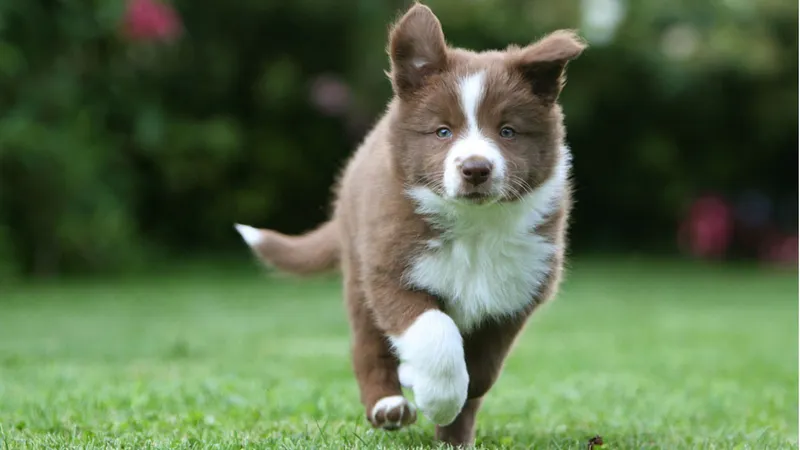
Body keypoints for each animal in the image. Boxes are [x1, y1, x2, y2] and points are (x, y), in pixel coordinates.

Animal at [234, 2, 584, 446]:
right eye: (442, 131)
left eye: (508, 131)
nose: (476, 169)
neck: (474, 226)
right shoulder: (390, 268)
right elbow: (435, 332)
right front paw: (438, 396)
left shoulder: (518, 290)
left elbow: (481, 370)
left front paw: (450, 411)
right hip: (358, 271)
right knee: (367, 346)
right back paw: (388, 405)